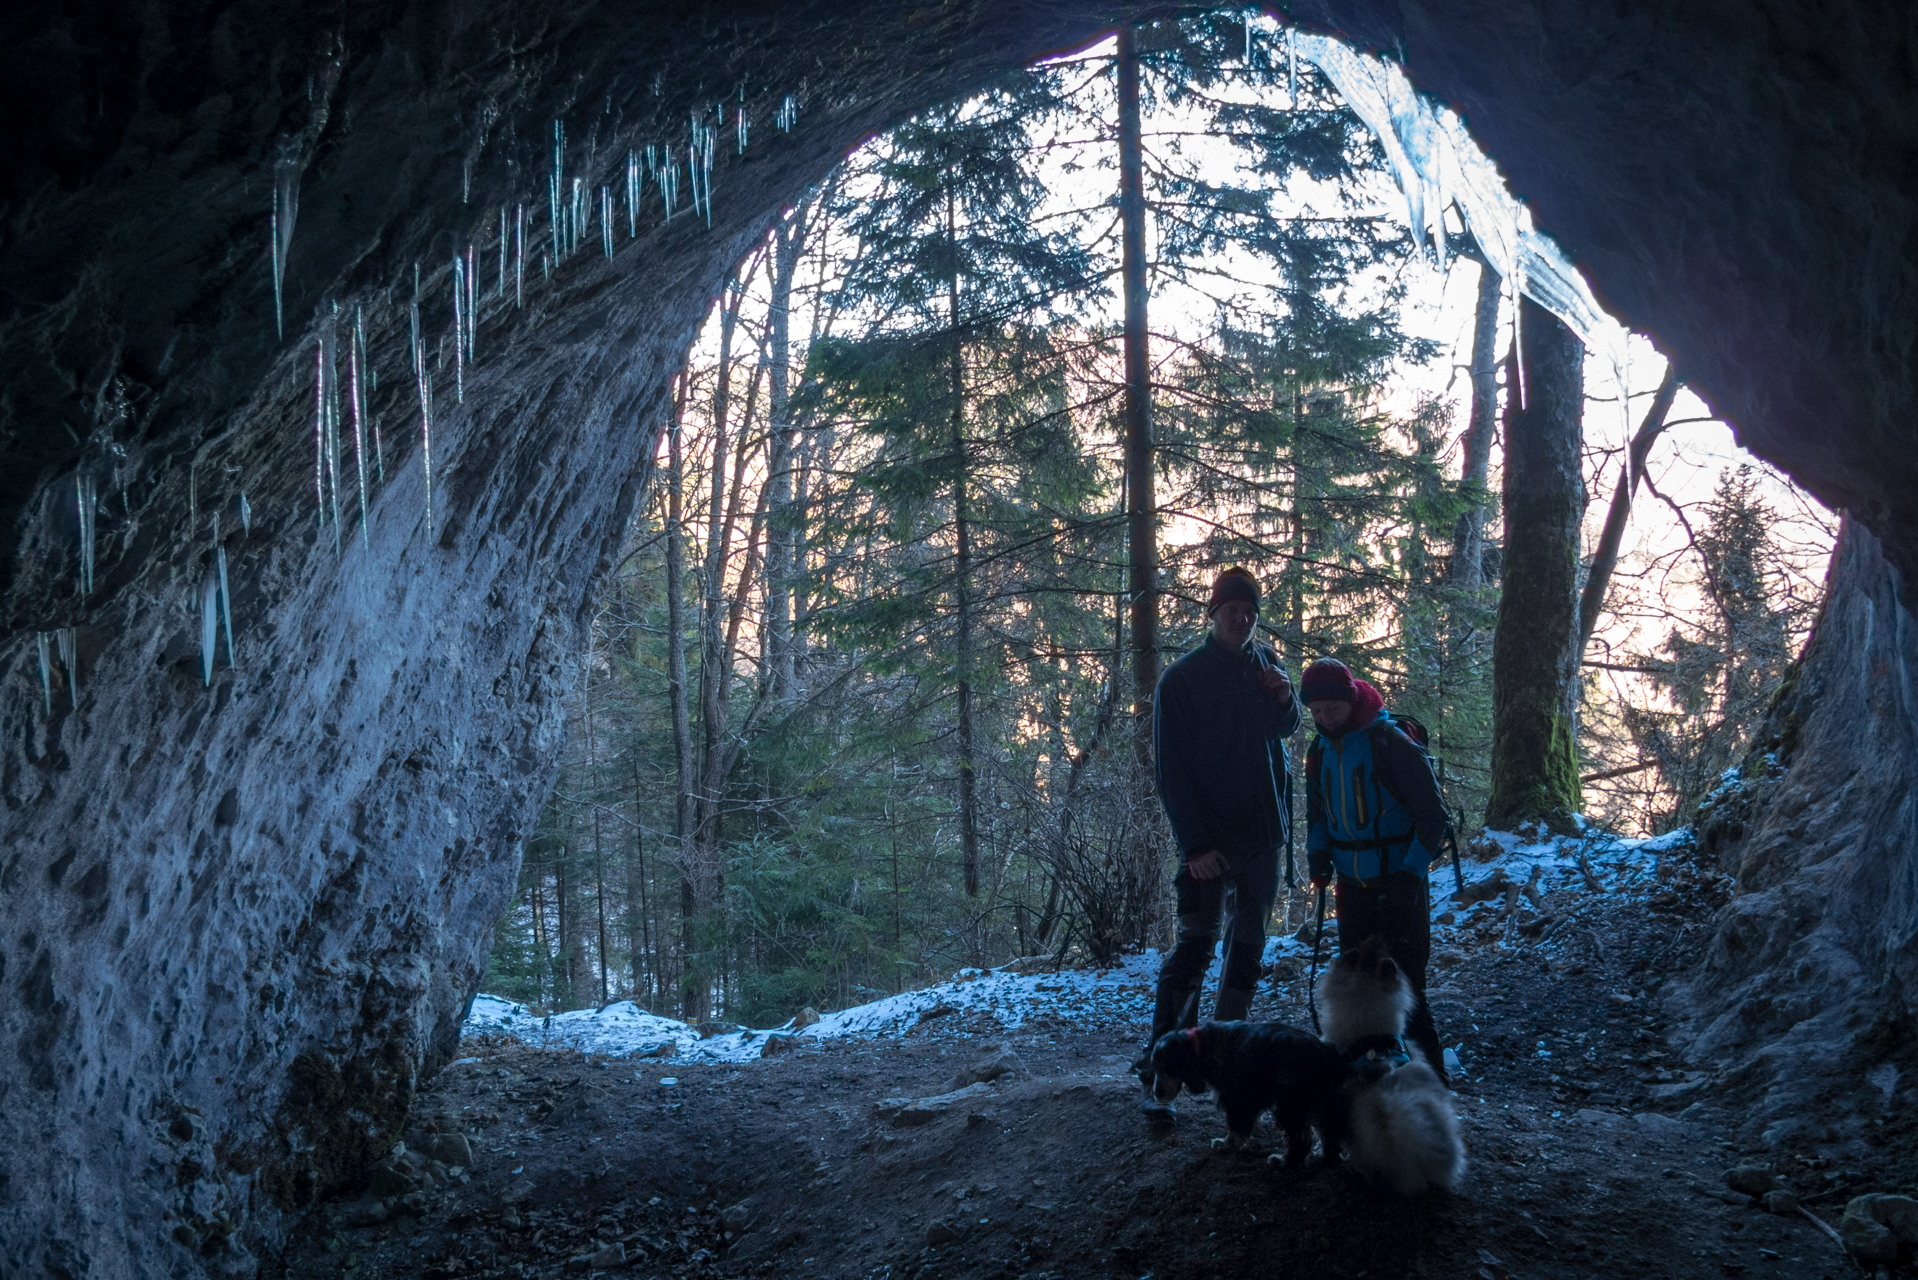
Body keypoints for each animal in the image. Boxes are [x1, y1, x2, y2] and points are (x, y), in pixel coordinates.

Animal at [1143, 1028, 1357, 1166]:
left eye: (1168, 1068)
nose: (1157, 1094)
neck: (1204, 1045)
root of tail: (1331, 1058)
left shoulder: (1237, 1099)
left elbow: (1236, 1128)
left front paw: (1225, 1145)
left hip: (1290, 1105)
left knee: (1301, 1137)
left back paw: (1285, 1161)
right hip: (1322, 1104)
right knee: (1329, 1133)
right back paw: (1323, 1157)